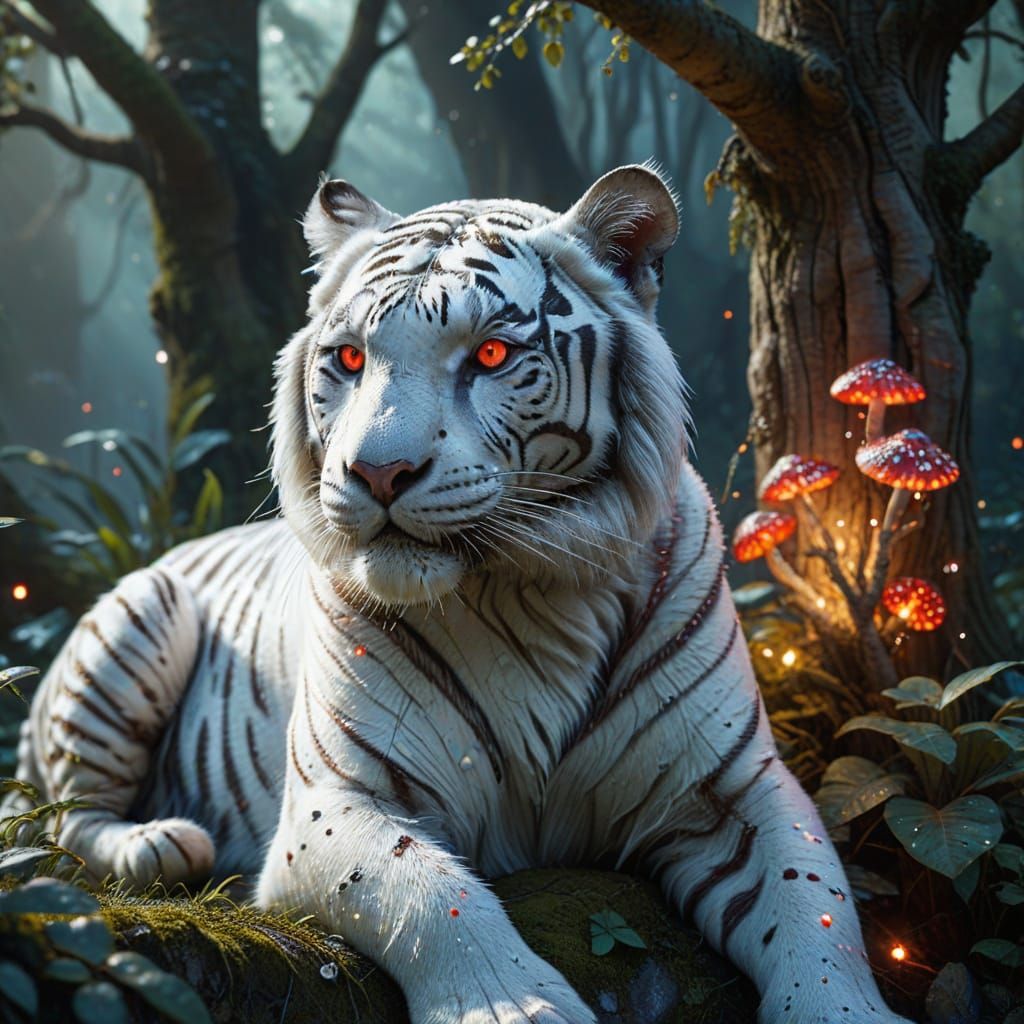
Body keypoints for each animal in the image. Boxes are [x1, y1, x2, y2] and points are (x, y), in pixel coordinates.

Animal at [9, 165, 911, 1024]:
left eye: (490, 356)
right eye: (349, 359)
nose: (377, 473)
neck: (532, 594)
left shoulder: (737, 790)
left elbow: (815, 906)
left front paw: (846, 1012)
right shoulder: (336, 801)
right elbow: (430, 892)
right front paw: (513, 1009)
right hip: (136, 619)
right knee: (63, 818)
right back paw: (162, 843)